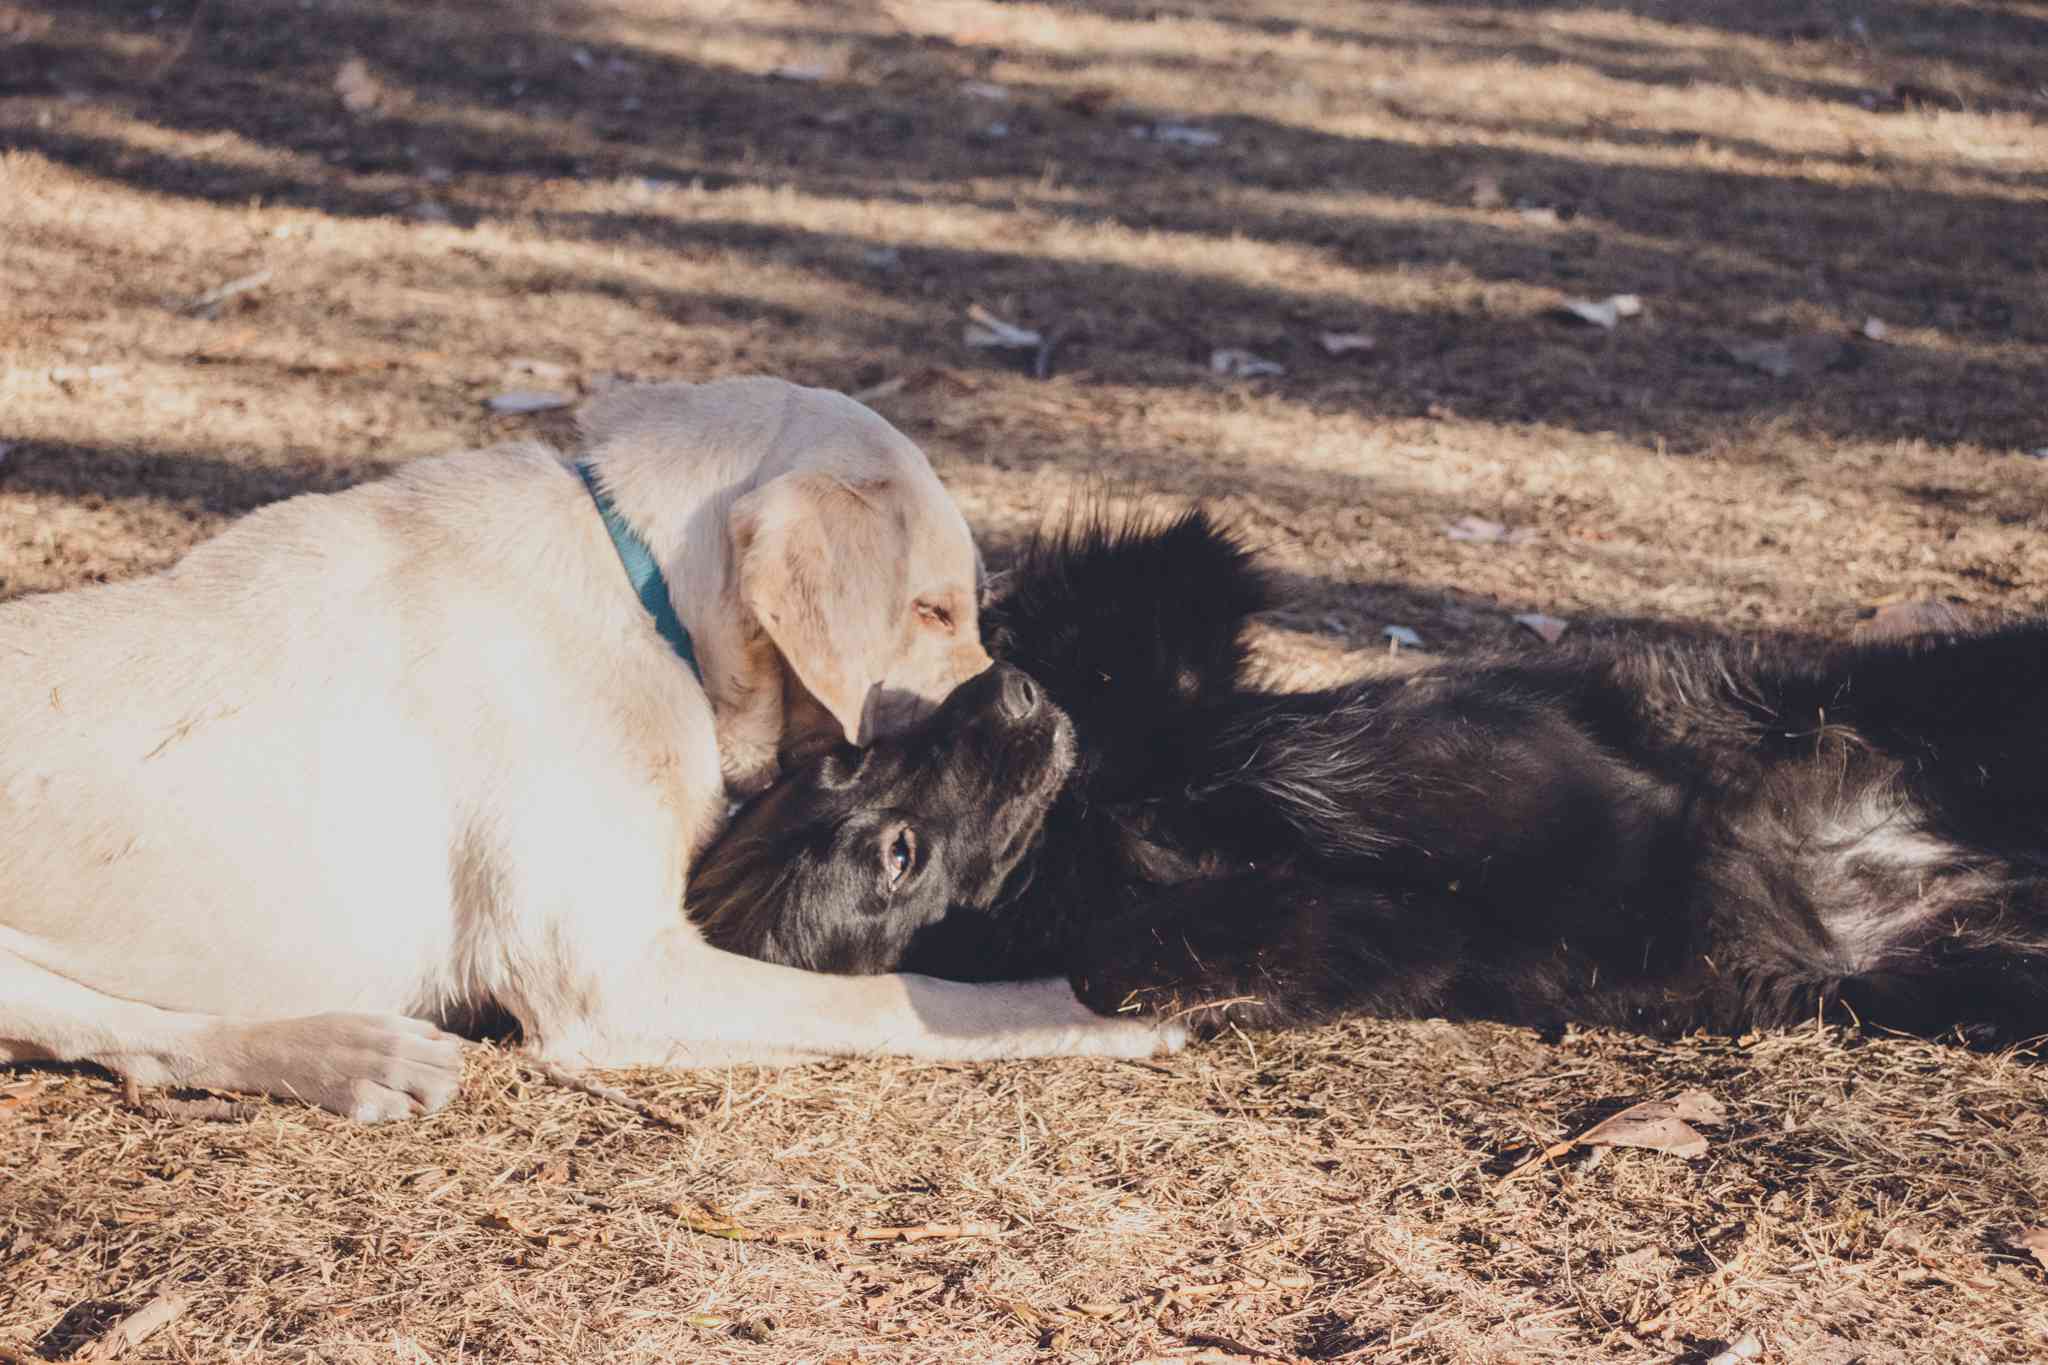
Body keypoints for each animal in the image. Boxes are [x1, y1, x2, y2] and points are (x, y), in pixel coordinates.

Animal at [696, 515, 2048, 1047]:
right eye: (896, 856)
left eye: (857, 756)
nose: (1013, 700)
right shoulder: (1346, 949)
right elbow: (1154, 942)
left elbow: (1159, 605)